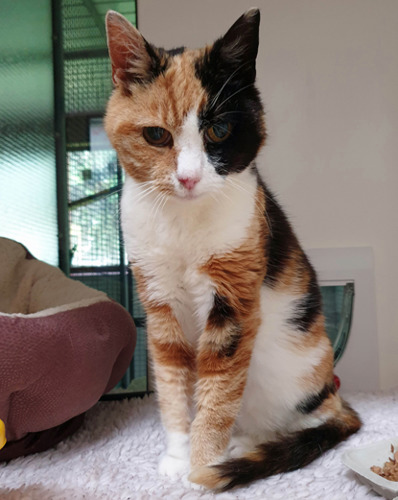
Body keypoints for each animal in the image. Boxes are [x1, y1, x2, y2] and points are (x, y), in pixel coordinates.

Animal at [104, 8, 362, 492]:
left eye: (219, 130)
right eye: (156, 135)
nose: (187, 178)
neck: (183, 224)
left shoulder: (233, 302)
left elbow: (218, 391)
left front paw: (202, 469)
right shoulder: (159, 303)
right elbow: (172, 385)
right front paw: (177, 458)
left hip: (293, 371)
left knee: (305, 422)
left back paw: (244, 448)